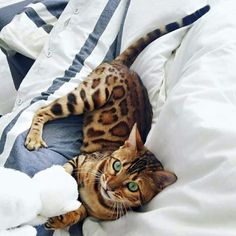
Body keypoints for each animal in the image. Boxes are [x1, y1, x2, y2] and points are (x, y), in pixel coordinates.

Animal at [24, 5, 209, 230]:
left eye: (132, 186)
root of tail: (123, 65)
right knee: (43, 109)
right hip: (89, 96)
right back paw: (34, 138)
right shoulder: (80, 159)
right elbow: (65, 171)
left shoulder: (90, 212)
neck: (97, 196)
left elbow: (80, 211)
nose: (109, 185)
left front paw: (62, 218)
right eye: (117, 165)